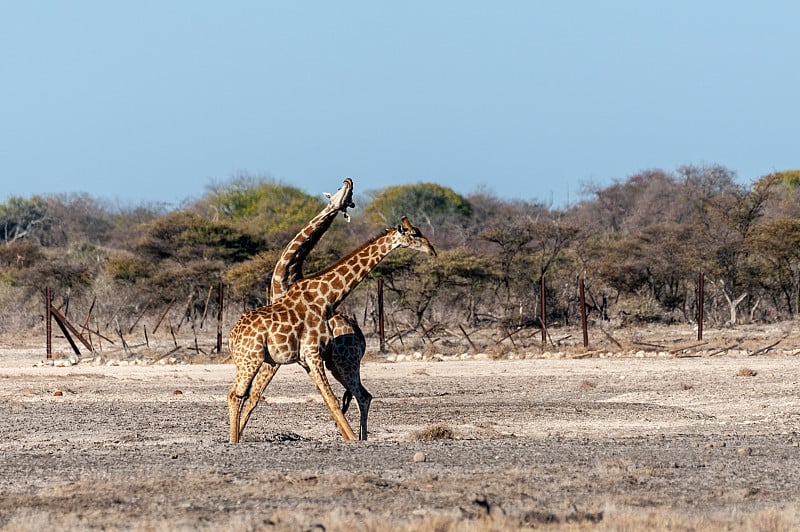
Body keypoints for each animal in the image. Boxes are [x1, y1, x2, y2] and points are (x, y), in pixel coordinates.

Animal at [225, 214, 438, 442]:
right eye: (415, 234)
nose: (432, 251)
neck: (326, 299)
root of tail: (231, 337)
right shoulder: (311, 354)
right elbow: (332, 400)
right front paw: (351, 438)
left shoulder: (308, 359)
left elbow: (329, 400)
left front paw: (351, 437)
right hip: (253, 359)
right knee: (236, 395)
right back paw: (234, 441)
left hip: (327, 363)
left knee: (363, 395)